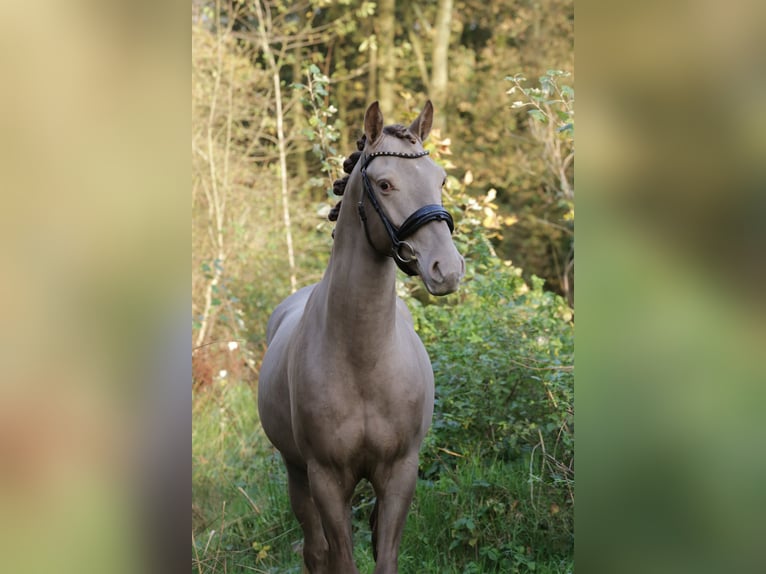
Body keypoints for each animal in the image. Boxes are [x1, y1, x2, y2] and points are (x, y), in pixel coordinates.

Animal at [258, 101, 464, 572]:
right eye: (385, 184)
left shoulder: (400, 473)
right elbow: (340, 558)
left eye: (441, 179)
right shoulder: (327, 478)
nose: (447, 269)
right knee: (316, 551)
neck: (363, 359)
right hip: (297, 472)